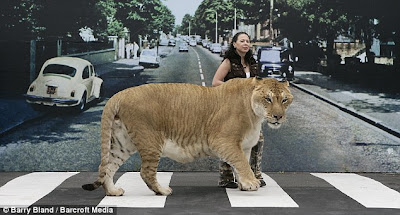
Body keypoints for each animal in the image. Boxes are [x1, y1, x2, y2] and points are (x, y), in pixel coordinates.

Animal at [82, 78, 294, 196]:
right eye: (268, 99)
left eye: (284, 99)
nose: (278, 117)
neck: (255, 115)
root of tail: (118, 95)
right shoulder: (222, 141)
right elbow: (241, 163)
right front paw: (251, 183)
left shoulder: (244, 146)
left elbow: (240, 164)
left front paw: (244, 184)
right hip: (150, 140)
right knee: (145, 172)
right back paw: (162, 191)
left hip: (122, 143)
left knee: (106, 167)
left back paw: (112, 192)